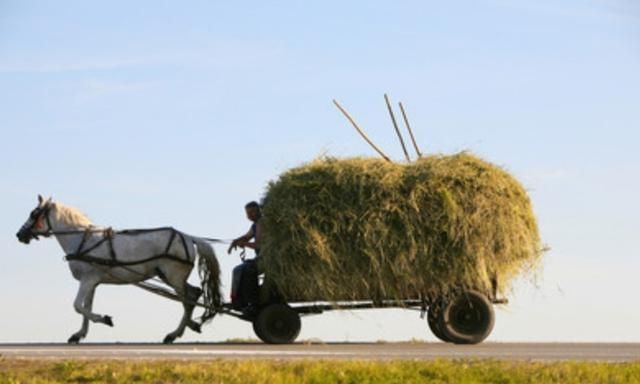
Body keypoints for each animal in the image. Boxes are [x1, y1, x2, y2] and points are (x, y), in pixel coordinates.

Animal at [15, 196, 222, 344]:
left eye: (34, 214)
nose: (19, 235)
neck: (81, 239)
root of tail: (188, 237)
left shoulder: (88, 280)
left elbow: (77, 306)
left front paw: (104, 319)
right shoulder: (92, 282)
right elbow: (85, 307)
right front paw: (79, 334)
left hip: (173, 277)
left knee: (188, 301)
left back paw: (174, 333)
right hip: (170, 277)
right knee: (193, 295)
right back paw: (190, 325)